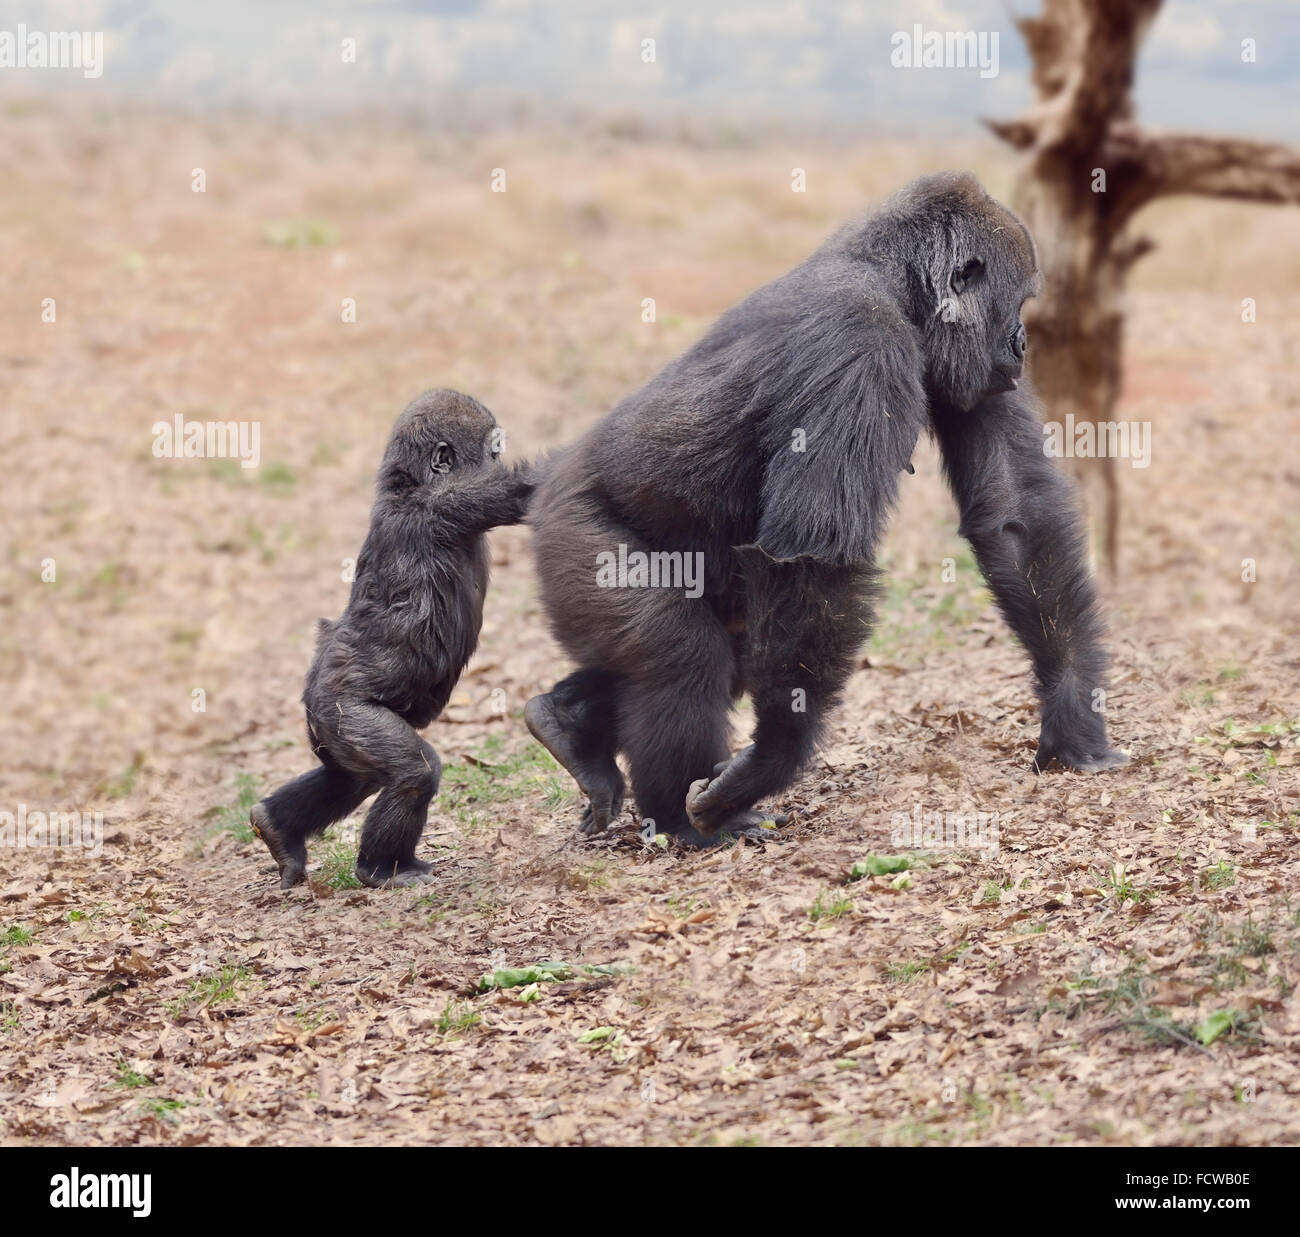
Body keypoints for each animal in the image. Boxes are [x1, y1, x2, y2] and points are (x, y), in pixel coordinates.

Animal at [250, 389, 535, 888]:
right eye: (494, 452)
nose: (496, 459)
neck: (407, 485)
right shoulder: (451, 503)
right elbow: (530, 487)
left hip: (327, 729)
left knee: (350, 780)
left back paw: (278, 829)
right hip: (342, 712)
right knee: (412, 773)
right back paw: (382, 867)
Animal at [524, 171, 1126, 848]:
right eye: (1017, 304)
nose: (1023, 345)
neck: (895, 284)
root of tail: (547, 483)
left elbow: (1013, 511)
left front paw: (1073, 717)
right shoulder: (859, 342)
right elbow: (814, 560)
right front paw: (770, 762)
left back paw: (569, 724)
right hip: (574, 535)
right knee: (681, 658)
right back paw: (681, 817)